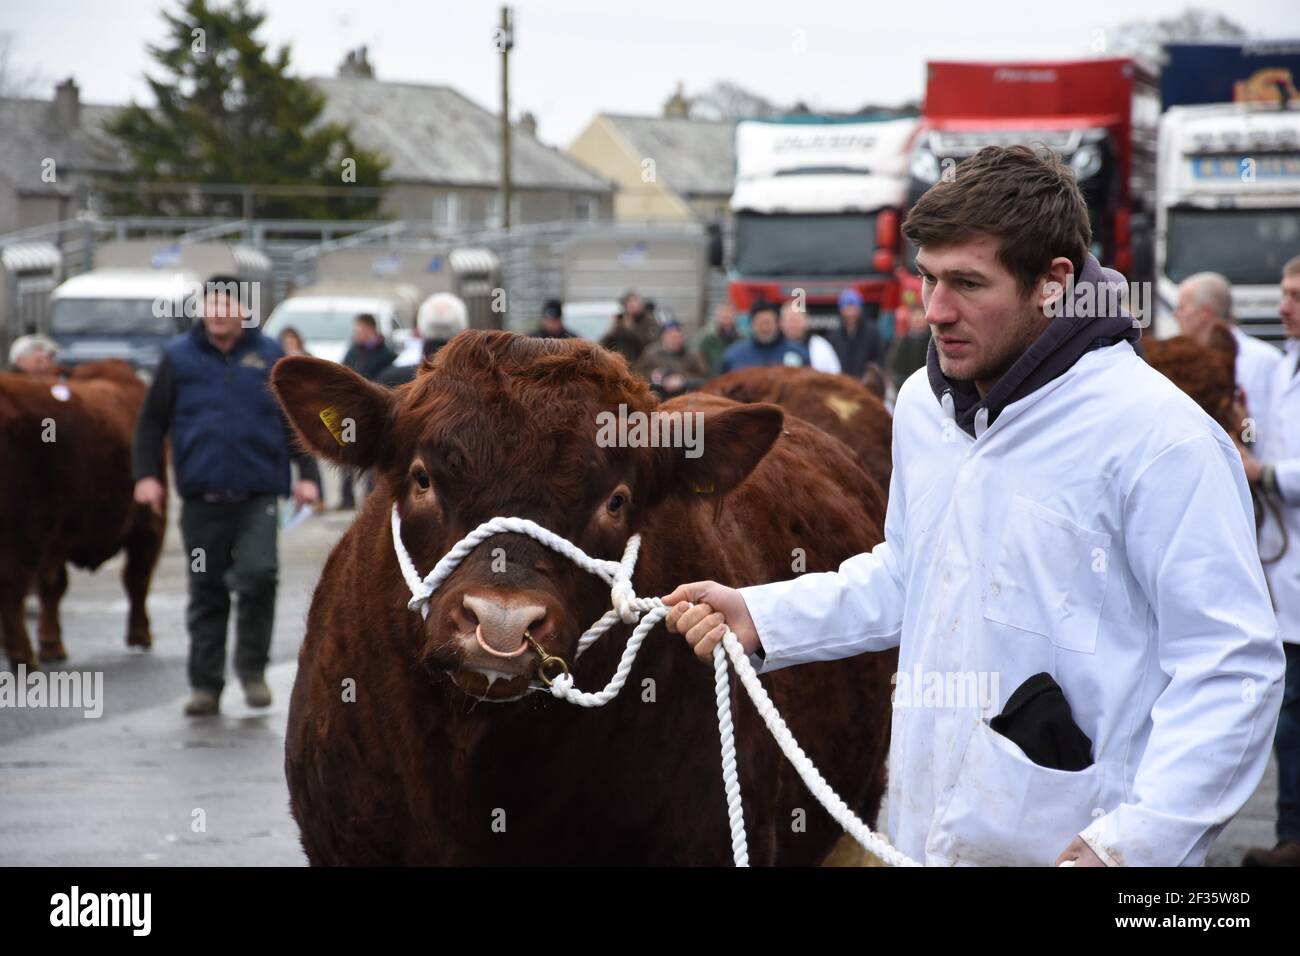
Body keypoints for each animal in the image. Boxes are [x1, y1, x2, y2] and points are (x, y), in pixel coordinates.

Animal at [0, 361, 165, 671]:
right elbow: (137, 578)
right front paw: (140, 634)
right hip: (24, 534)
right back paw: (24, 658)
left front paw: (51, 645)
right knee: (12, 587)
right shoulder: (149, 524)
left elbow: (52, 587)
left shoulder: (57, 539)